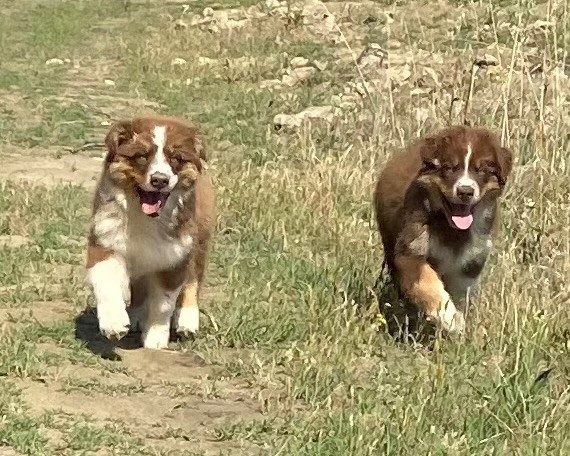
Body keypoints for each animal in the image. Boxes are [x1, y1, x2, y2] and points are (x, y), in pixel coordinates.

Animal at [85, 116, 214, 350]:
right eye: (142, 156)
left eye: (176, 159)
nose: (160, 180)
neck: (145, 218)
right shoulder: (105, 238)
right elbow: (107, 281)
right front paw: (113, 323)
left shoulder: (175, 255)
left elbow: (163, 302)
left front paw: (155, 337)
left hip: (199, 239)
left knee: (193, 279)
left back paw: (187, 321)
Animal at [372, 126, 510, 334]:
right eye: (450, 168)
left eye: (481, 171)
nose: (465, 192)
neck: (451, 229)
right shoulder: (411, 249)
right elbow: (427, 284)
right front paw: (451, 319)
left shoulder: (472, 261)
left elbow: (460, 292)